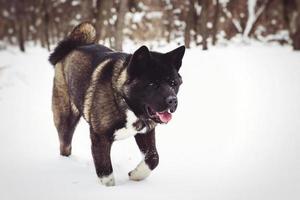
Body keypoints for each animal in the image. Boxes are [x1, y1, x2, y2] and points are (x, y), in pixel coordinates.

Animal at [49, 21, 185, 186]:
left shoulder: (146, 132)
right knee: (65, 145)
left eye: (173, 83)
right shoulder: (99, 138)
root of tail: (72, 47)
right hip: (66, 120)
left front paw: (136, 175)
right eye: (152, 84)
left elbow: (153, 158)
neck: (124, 101)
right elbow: (106, 173)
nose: (172, 100)